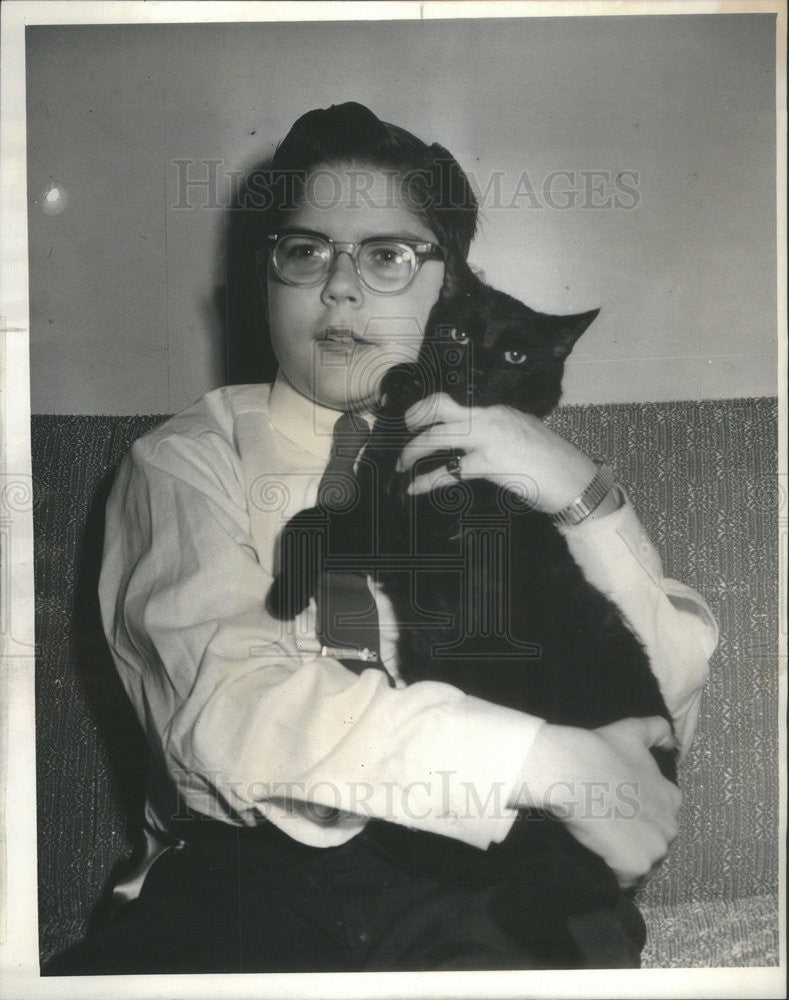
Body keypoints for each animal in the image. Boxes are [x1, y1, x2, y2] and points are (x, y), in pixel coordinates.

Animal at [268, 270, 676, 964]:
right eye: (457, 331)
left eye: (514, 354)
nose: (473, 364)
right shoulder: (374, 499)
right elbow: (314, 515)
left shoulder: (400, 529)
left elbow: (310, 521)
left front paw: (283, 596)